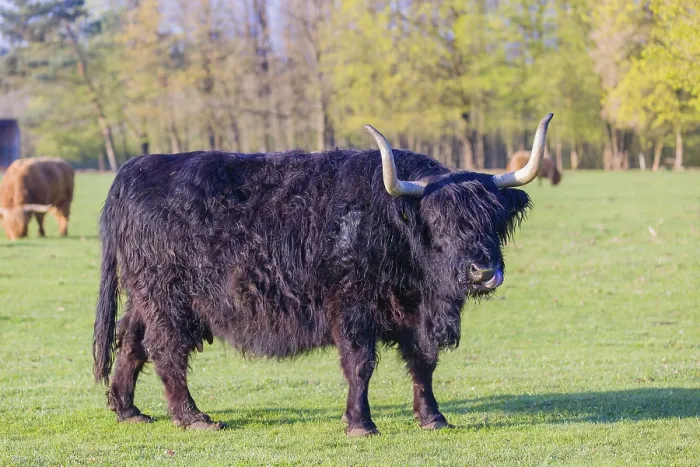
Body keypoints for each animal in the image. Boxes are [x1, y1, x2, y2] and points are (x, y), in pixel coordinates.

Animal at [93, 114, 554, 436]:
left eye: (494, 219)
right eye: (439, 222)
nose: (483, 271)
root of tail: (135, 170)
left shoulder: (414, 314)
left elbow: (423, 363)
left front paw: (433, 417)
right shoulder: (351, 305)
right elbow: (360, 363)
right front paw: (360, 423)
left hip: (143, 297)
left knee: (131, 341)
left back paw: (128, 410)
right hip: (168, 299)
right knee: (166, 350)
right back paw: (193, 418)